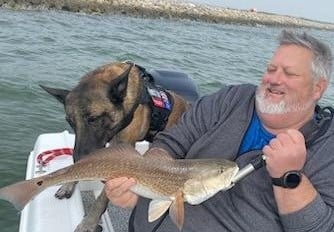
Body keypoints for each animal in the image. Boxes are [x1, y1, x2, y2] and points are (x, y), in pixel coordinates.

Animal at [40, 60, 196, 231]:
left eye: (93, 119)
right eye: (70, 122)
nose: (79, 158)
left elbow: (101, 199)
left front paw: (89, 223)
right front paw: (68, 184)